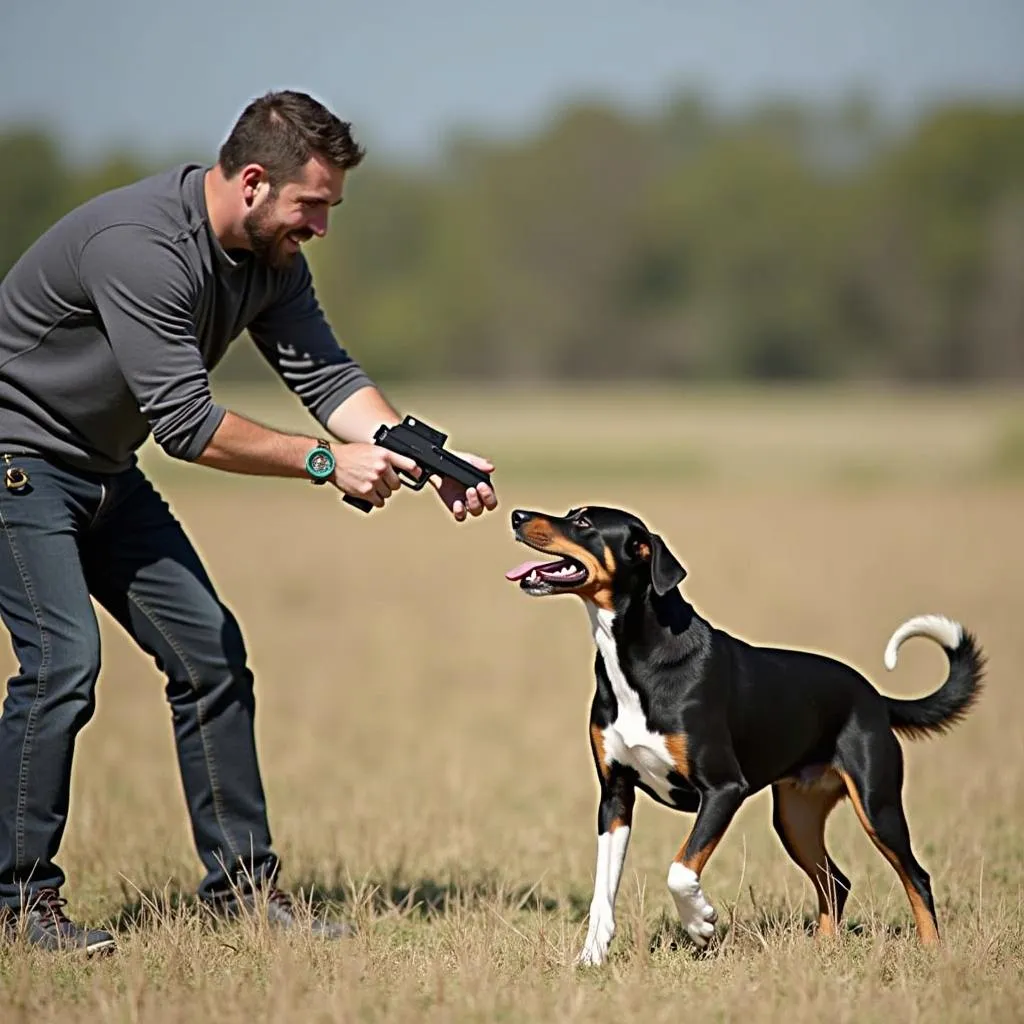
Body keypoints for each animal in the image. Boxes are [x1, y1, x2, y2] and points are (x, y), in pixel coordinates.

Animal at [503, 507, 983, 962]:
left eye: (584, 522)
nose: (517, 515)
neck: (637, 660)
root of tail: (875, 697)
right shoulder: (616, 795)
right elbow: (603, 892)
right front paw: (591, 957)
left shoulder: (723, 788)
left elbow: (680, 870)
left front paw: (700, 923)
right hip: (795, 817)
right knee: (835, 881)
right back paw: (823, 950)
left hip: (876, 804)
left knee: (915, 876)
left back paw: (931, 953)